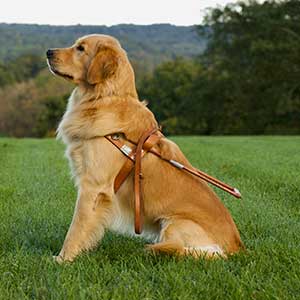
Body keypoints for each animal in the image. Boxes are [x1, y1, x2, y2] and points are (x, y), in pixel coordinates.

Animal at [47, 34, 244, 262]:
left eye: (80, 48)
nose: (48, 52)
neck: (105, 97)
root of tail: (238, 247)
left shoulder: (93, 186)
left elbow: (76, 228)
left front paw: (62, 259)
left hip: (175, 223)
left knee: (195, 251)